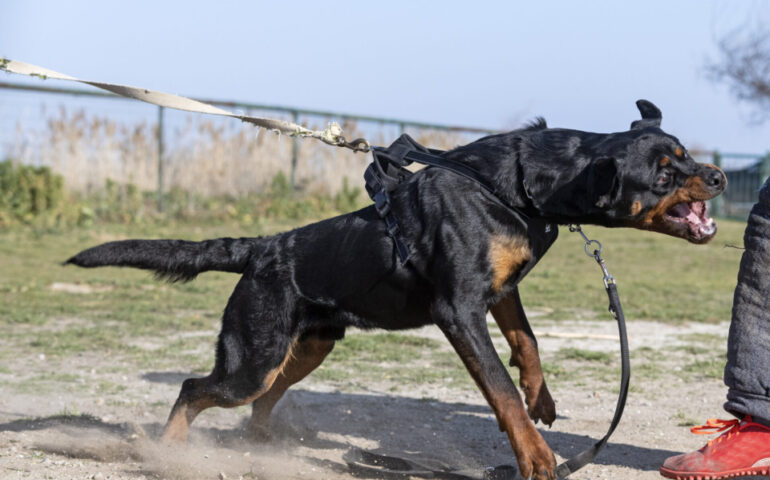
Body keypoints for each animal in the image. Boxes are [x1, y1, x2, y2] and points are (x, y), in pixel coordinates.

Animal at [64, 99, 720, 478]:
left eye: (685, 155)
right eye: (665, 173)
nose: (714, 176)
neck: (518, 187)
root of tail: (262, 247)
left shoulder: (501, 290)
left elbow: (527, 344)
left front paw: (543, 398)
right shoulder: (459, 310)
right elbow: (500, 390)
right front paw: (535, 456)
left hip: (305, 349)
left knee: (261, 403)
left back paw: (264, 451)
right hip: (253, 355)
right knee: (195, 389)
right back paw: (170, 452)